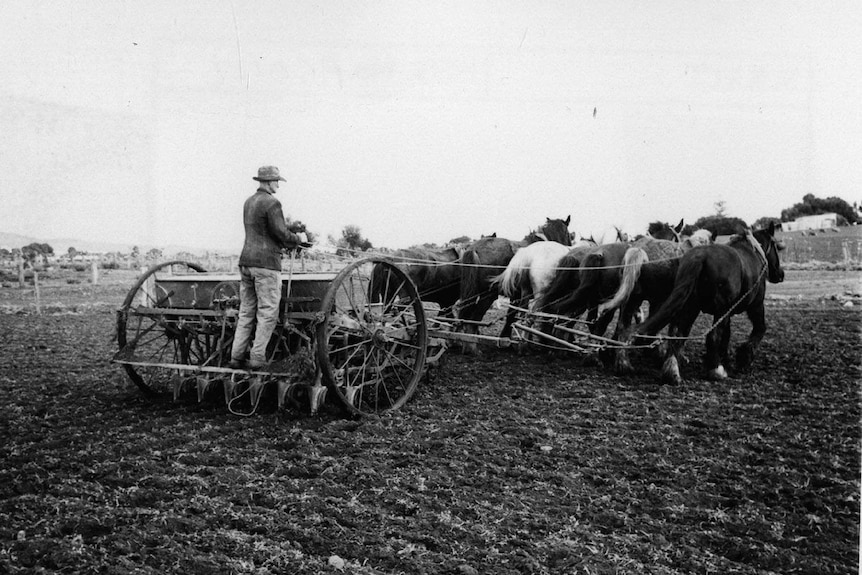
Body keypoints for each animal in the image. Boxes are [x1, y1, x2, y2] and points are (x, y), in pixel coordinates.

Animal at [632, 223, 788, 384]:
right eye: (775, 246)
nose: (780, 274)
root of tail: (701, 257)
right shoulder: (755, 306)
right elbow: (759, 329)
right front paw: (743, 358)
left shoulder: (727, 313)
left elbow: (726, 335)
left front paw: (726, 360)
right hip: (717, 310)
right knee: (711, 337)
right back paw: (716, 370)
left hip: (690, 308)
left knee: (678, 335)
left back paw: (671, 370)